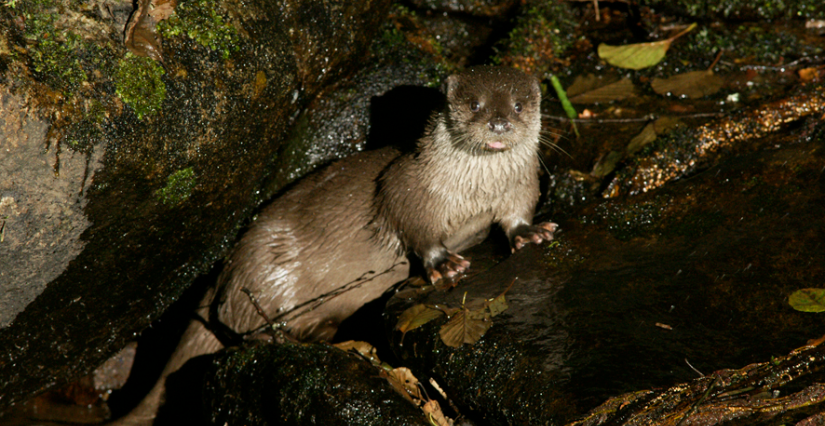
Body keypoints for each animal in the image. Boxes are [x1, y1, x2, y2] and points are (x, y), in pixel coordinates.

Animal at [112, 65, 556, 424]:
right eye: (475, 104)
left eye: (518, 105)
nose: (498, 123)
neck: (473, 193)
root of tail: (226, 265)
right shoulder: (407, 186)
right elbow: (414, 227)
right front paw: (444, 262)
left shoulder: (521, 183)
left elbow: (518, 212)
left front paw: (529, 233)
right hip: (263, 270)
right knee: (241, 325)